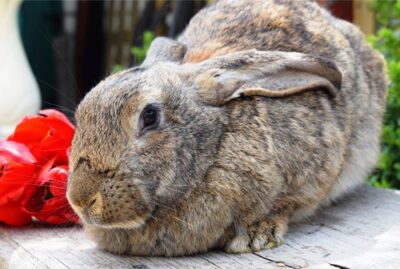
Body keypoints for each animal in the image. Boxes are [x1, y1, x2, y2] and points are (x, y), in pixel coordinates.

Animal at [66, 0, 388, 255]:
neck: (216, 142)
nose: (81, 199)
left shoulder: (315, 167)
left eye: (149, 116)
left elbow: (289, 202)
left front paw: (258, 235)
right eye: (81, 114)